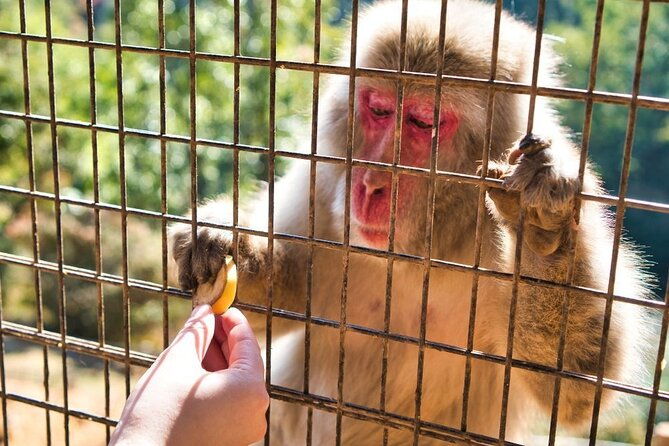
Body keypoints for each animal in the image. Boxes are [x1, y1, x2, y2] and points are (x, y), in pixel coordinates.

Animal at [169, 0, 652, 443]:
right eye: (380, 110)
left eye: (423, 122)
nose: (371, 183)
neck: (423, 249)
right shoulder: (322, 186)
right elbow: (291, 293)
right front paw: (225, 246)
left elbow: (574, 389)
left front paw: (543, 236)